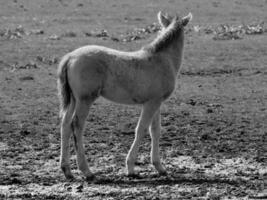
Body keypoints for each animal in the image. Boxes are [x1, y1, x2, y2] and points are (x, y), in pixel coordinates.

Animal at [58, 10, 193, 180]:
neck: (163, 59)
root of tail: (70, 57)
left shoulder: (156, 102)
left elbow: (155, 131)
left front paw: (160, 167)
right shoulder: (151, 103)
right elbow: (141, 129)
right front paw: (130, 168)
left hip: (74, 99)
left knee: (65, 125)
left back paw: (67, 170)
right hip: (85, 99)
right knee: (76, 126)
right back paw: (87, 171)